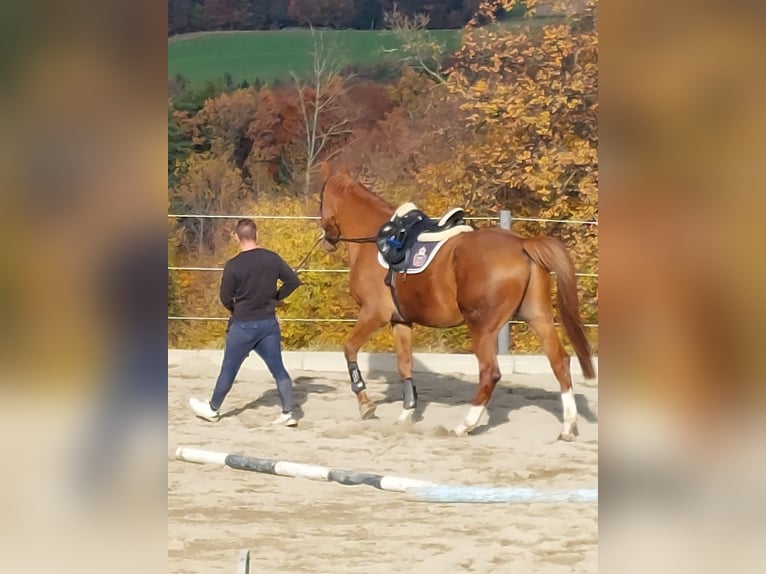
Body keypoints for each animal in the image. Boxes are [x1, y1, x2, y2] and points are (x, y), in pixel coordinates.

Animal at [317, 164, 596, 439]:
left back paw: (466, 425)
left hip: (482, 327)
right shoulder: (401, 321)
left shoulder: (373, 314)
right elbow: (404, 364)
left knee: (490, 373)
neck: (378, 241)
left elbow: (350, 349)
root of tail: (522, 245)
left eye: (321, 199)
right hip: (538, 317)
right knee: (560, 362)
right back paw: (567, 426)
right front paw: (407, 413)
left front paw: (366, 404)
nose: (327, 240)